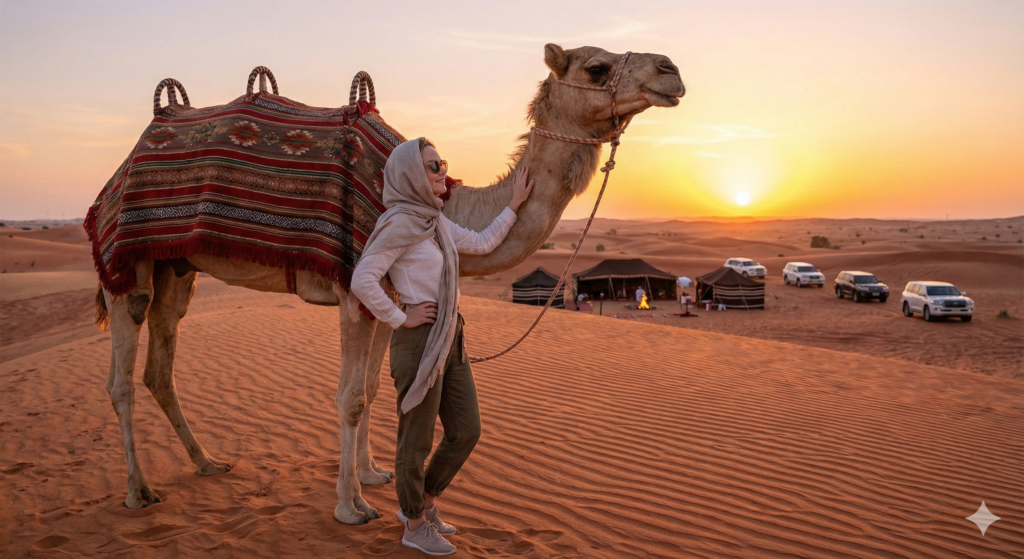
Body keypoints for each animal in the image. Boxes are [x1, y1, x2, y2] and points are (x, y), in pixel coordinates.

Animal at [96, 43, 684, 524]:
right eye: (597, 67)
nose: (671, 70)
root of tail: (127, 160)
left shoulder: (392, 299)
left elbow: (376, 388)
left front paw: (373, 475)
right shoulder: (356, 292)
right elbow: (351, 397)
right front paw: (350, 506)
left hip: (177, 267)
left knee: (161, 363)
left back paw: (207, 462)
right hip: (127, 264)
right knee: (122, 376)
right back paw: (138, 491)